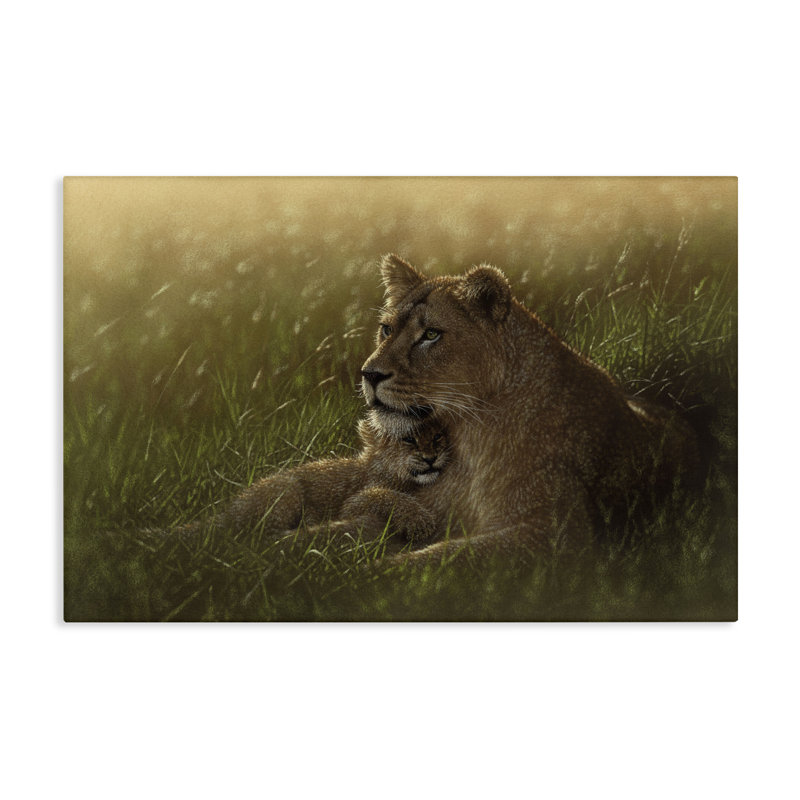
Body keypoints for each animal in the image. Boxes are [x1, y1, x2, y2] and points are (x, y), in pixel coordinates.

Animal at [359, 254, 700, 565]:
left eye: (431, 334)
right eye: (386, 329)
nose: (370, 374)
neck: (468, 438)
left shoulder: (557, 533)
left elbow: (440, 558)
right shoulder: (431, 505)